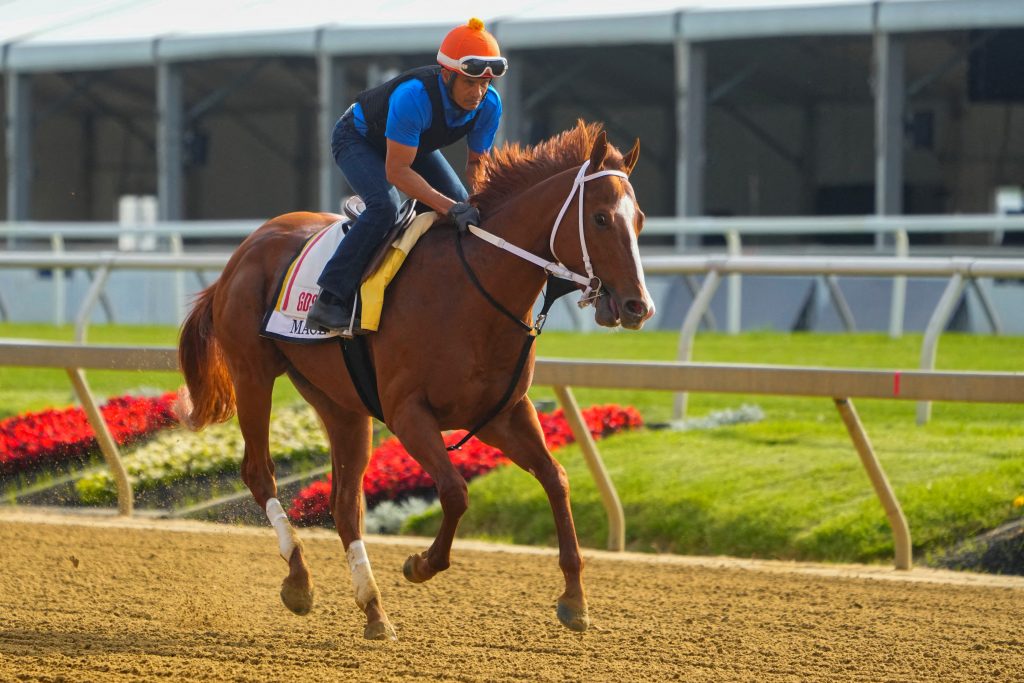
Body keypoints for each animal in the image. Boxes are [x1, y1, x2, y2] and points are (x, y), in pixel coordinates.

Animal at [179, 121, 651, 643]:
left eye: (640, 220)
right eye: (602, 218)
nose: (638, 306)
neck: (474, 290)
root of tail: (243, 251)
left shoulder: (503, 413)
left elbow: (556, 478)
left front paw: (574, 599)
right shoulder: (408, 413)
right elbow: (455, 492)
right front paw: (420, 564)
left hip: (339, 403)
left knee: (345, 504)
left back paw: (373, 609)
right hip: (253, 374)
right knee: (260, 473)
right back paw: (300, 581)